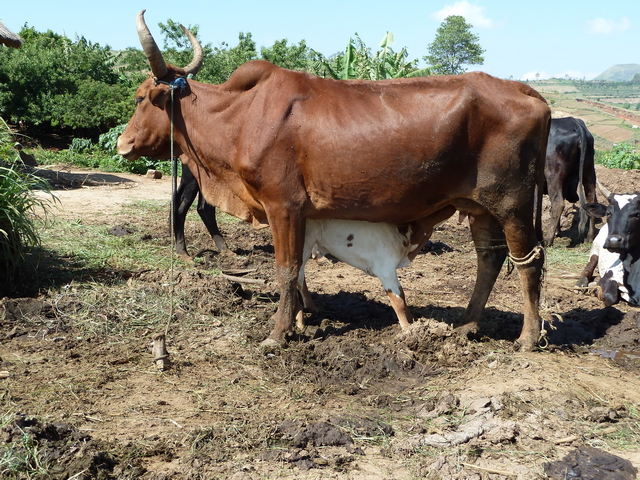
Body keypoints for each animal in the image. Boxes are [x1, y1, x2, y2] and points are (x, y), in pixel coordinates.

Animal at [119, 9, 552, 350]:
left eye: (140, 98)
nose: (123, 143)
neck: (240, 117)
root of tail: (528, 91)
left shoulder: (283, 206)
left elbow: (286, 268)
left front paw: (277, 334)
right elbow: (299, 272)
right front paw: (301, 319)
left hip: (512, 203)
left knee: (528, 263)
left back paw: (528, 338)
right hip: (479, 206)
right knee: (489, 258)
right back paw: (466, 326)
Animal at [544, 115, 596, 244]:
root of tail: (575, 123)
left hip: (553, 176)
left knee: (558, 203)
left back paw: (547, 240)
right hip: (589, 172)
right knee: (592, 198)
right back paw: (590, 236)